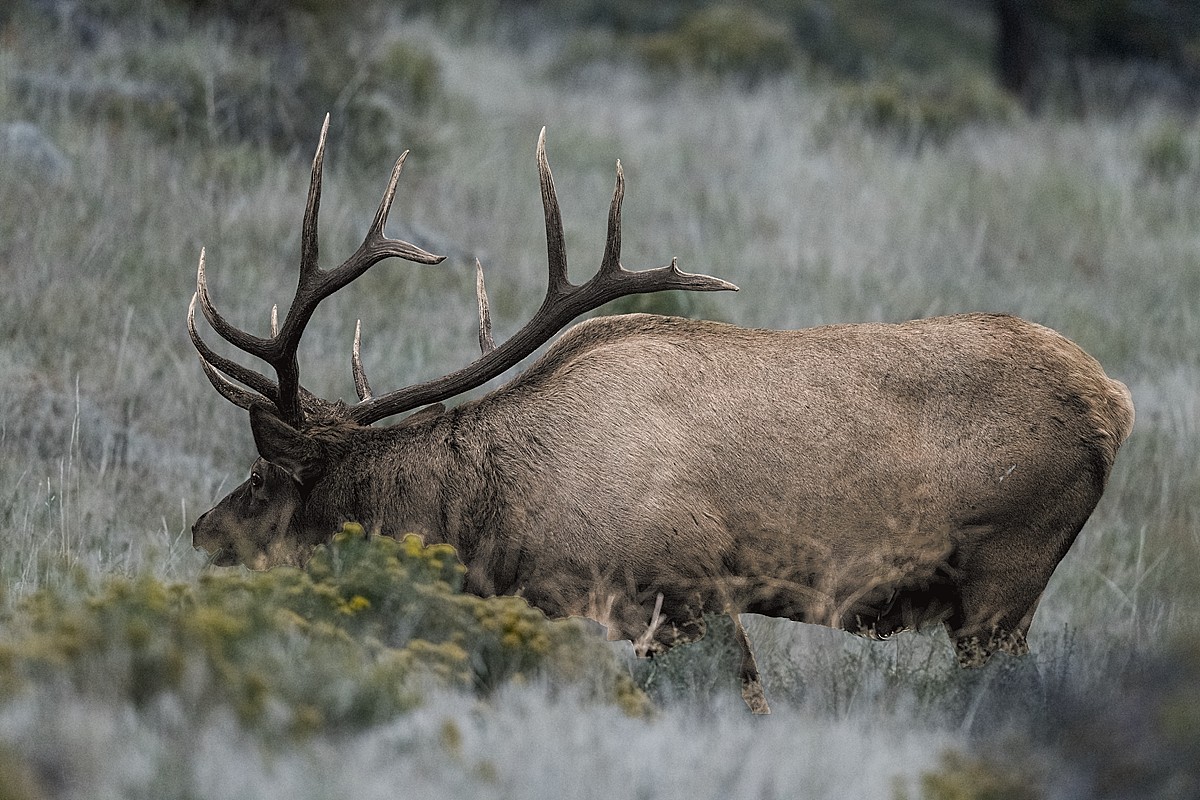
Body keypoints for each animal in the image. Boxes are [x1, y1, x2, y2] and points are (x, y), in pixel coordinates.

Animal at [187, 117, 1132, 714]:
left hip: (1004, 576)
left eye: (266, 475)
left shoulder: (685, 587)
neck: (498, 518)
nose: (201, 531)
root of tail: (1116, 405)